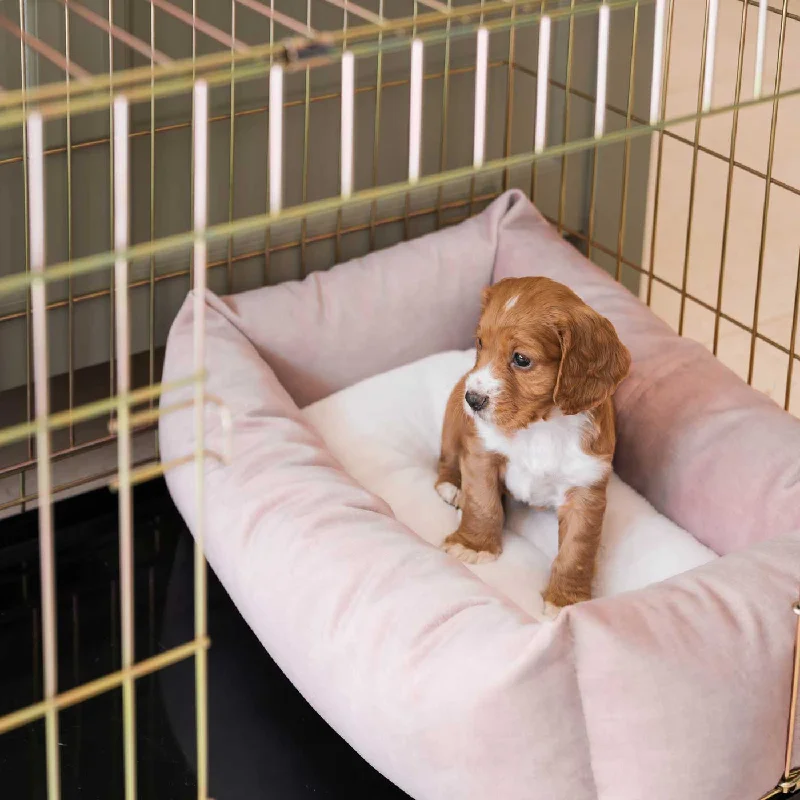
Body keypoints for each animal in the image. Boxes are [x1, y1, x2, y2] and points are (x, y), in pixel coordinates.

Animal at [438, 276, 632, 612]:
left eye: (521, 359)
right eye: (480, 343)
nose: (473, 399)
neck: (540, 425)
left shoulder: (585, 487)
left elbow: (578, 548)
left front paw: (566, 600)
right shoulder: (482, 452)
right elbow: (482, 503)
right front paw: (473, 544)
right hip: (453, 417)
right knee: (446, 458)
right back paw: (452, 486)